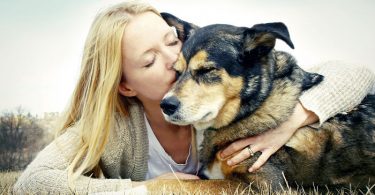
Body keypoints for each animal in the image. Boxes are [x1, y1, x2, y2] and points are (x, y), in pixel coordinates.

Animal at [159, 12, 375, 190]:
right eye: (176, 71)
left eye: (207, 70)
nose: (165, 105)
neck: (255, 106)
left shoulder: (260, 186)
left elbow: (173, 183)